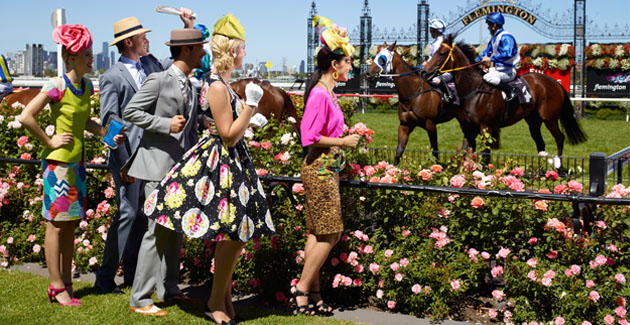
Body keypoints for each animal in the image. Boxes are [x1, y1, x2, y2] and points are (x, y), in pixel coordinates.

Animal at [422, 34, 592, 161]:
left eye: (441, 54)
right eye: (435, 52)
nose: (424, 71)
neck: (474, 90)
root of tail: (554, 83)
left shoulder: (486, 127)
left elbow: (485, 155)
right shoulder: (469, 127)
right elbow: (465, 152)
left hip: (549, 118)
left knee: (560, 138)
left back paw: (560, 169)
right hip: (533, 120)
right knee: (541, 144)